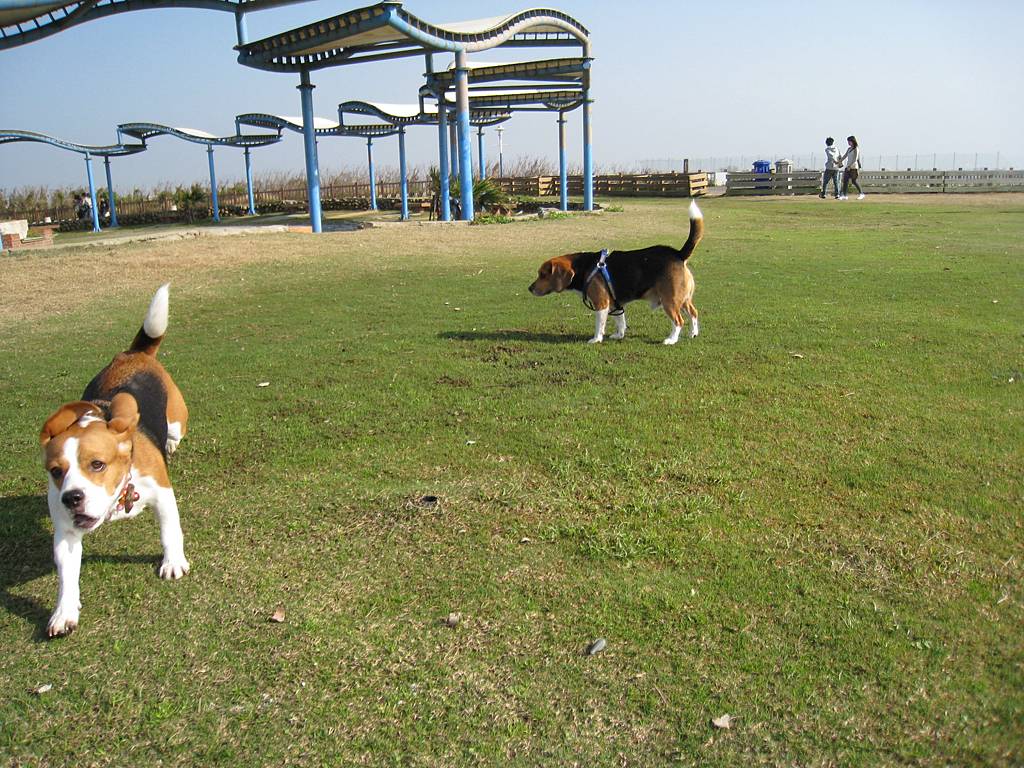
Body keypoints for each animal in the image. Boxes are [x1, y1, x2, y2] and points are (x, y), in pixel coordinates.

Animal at [39, 284, 189, 637]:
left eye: (97, 464)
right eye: (56, 471)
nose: (72, 497)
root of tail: (133, 354)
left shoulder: (161, 492)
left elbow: (170, 530)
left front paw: (173, 562)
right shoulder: (65, 532)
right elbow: (67, 575)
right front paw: (64, 612)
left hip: (178, 419)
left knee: (174, 433)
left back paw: (170, 443)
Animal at [529, 200, 704, 344]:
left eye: (543, 274)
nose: (530, 289)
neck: (584, 267)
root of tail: (678, 254)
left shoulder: (601, 304)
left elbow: (599, 325)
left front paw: (596, 339)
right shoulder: (616, 304)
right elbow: (621, 322)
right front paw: (619, 335)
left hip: (670, 300)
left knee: (679, 321)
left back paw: (671, 339)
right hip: (683, 299)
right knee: (693, 313)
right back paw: (693, 333)